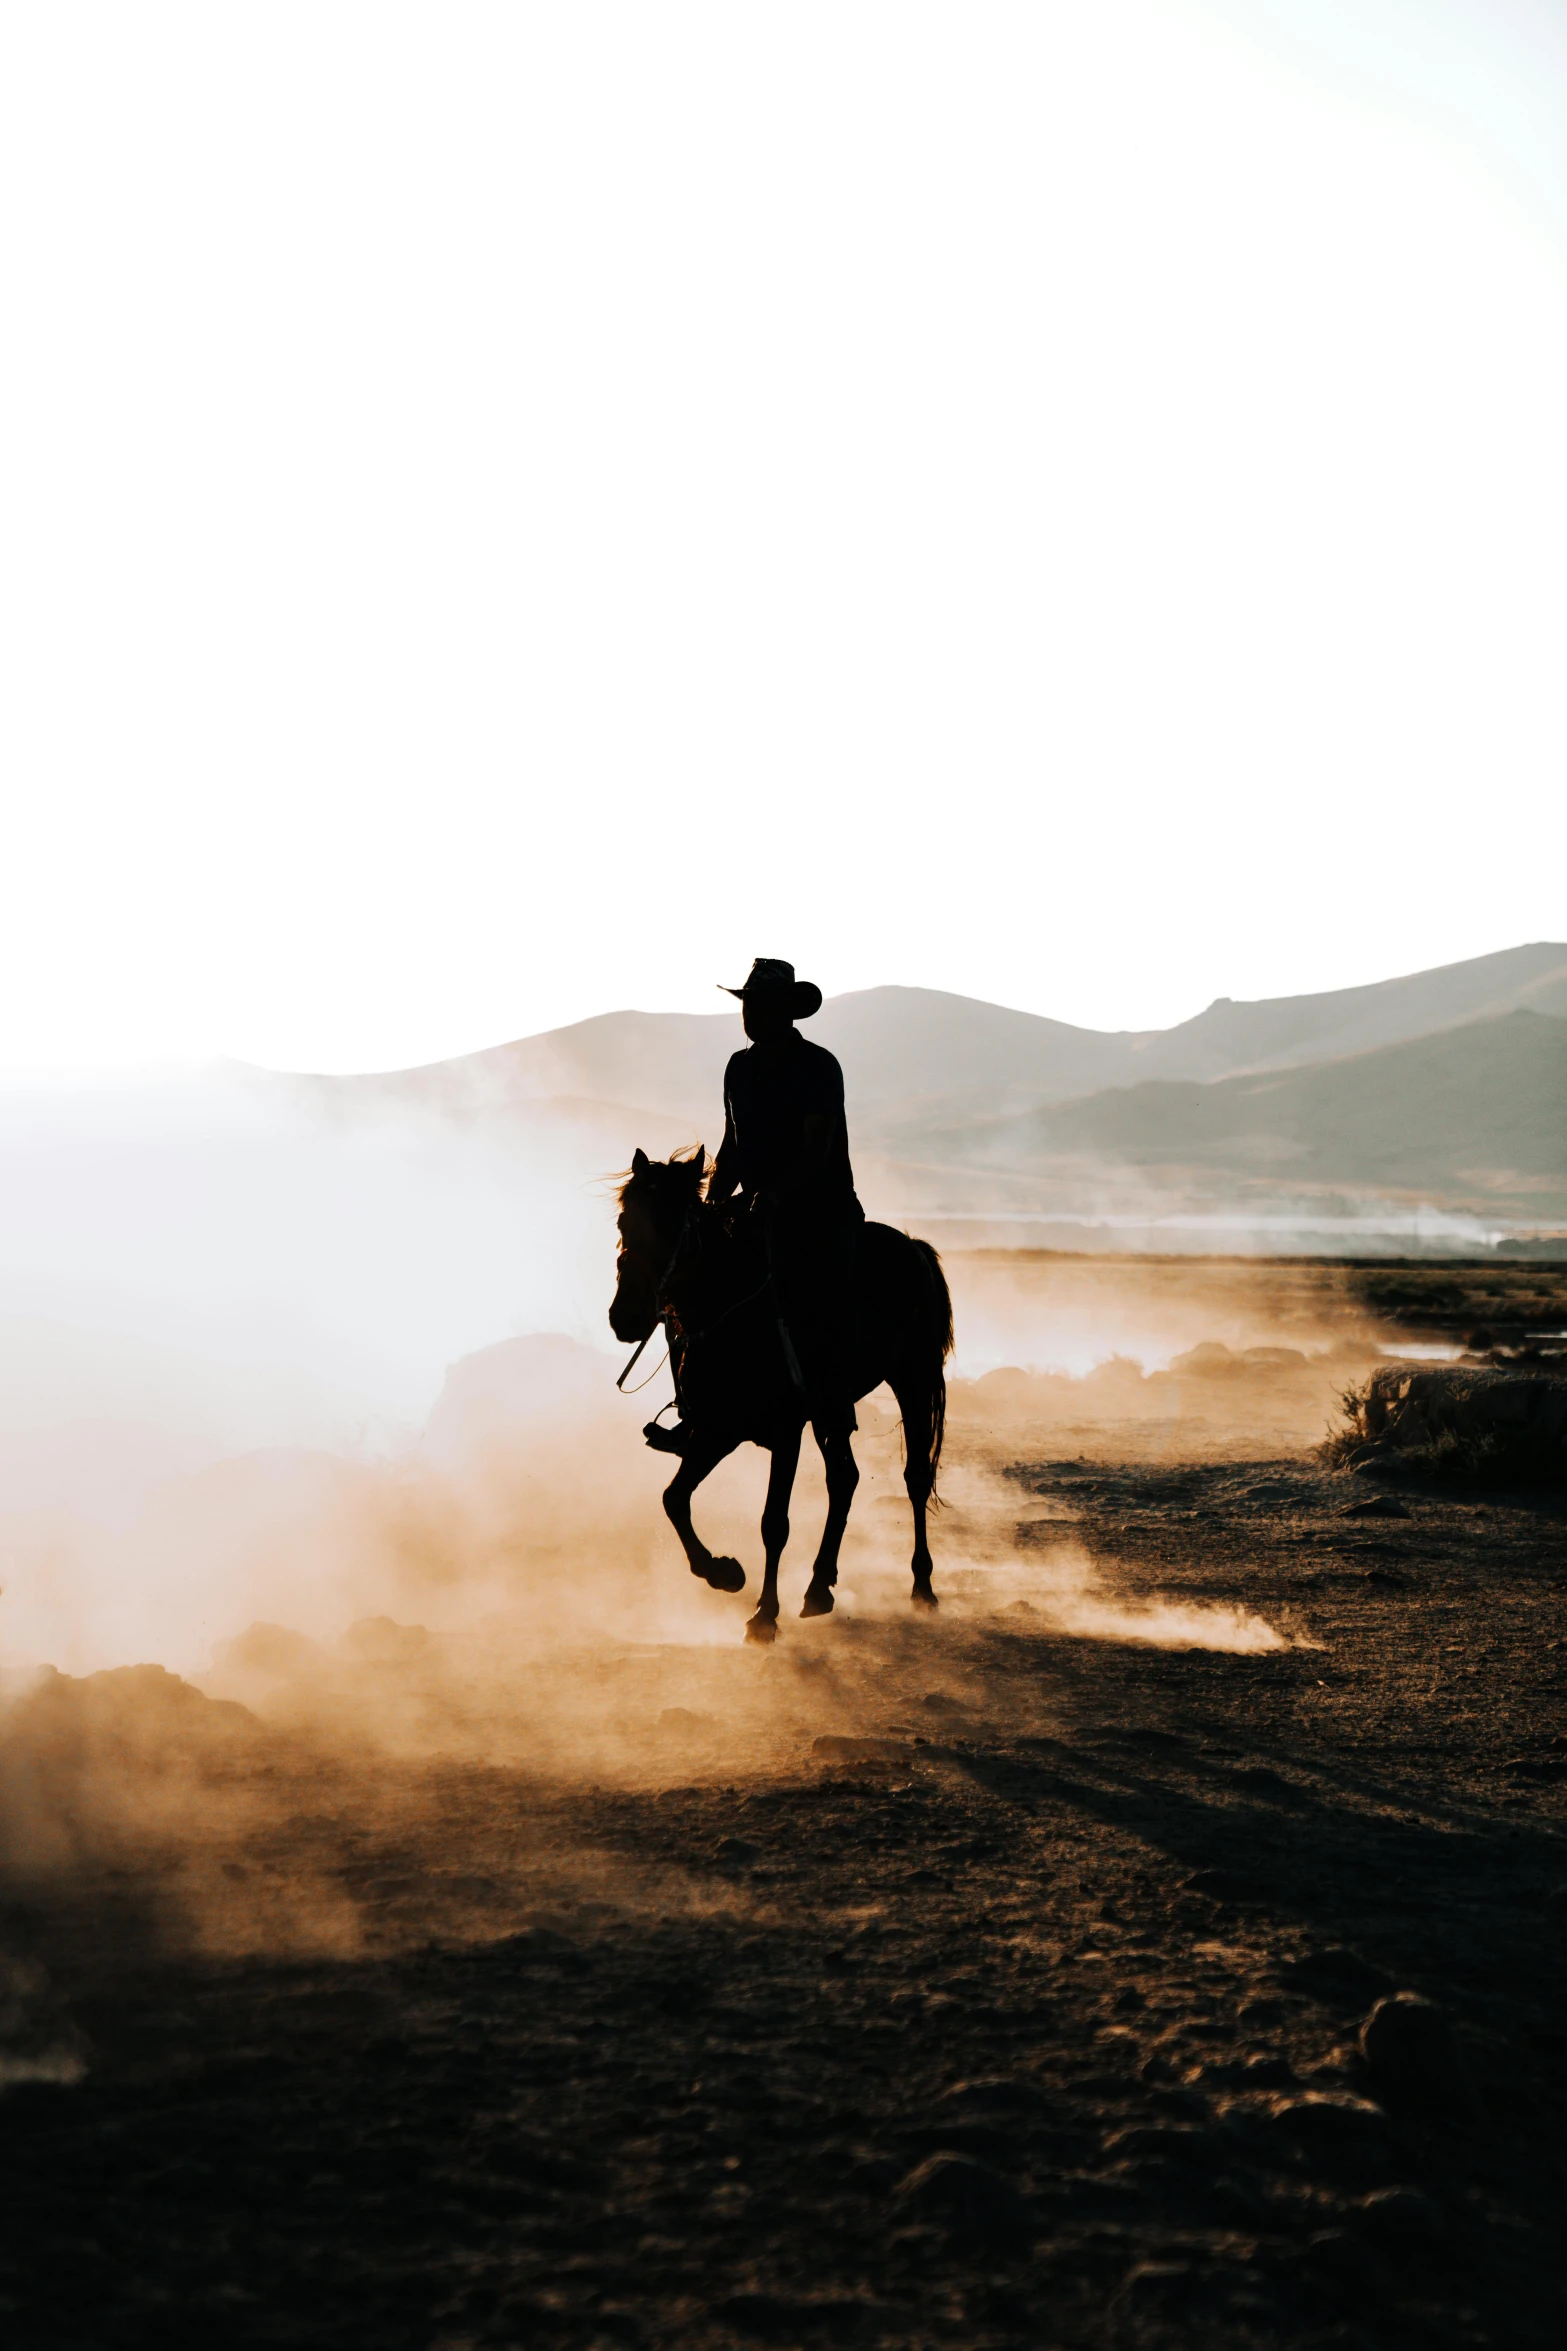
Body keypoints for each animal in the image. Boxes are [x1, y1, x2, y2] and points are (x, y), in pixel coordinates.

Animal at [610, 1147, 958, 1645]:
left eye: (673, 1223)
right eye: (625, 1221)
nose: (625, 1317)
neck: (734, 1313)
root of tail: (915, 1248)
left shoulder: (786, 1429)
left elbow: (773, 1522)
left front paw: (764, 1615)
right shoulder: (716, 1430)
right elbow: (674, 1499)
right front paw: (724, 1573)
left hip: (913, 1379)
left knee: (915, 1478)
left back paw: (922, 1587)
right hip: (832, 1412)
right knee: (844, 1478)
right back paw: (818, 1587)